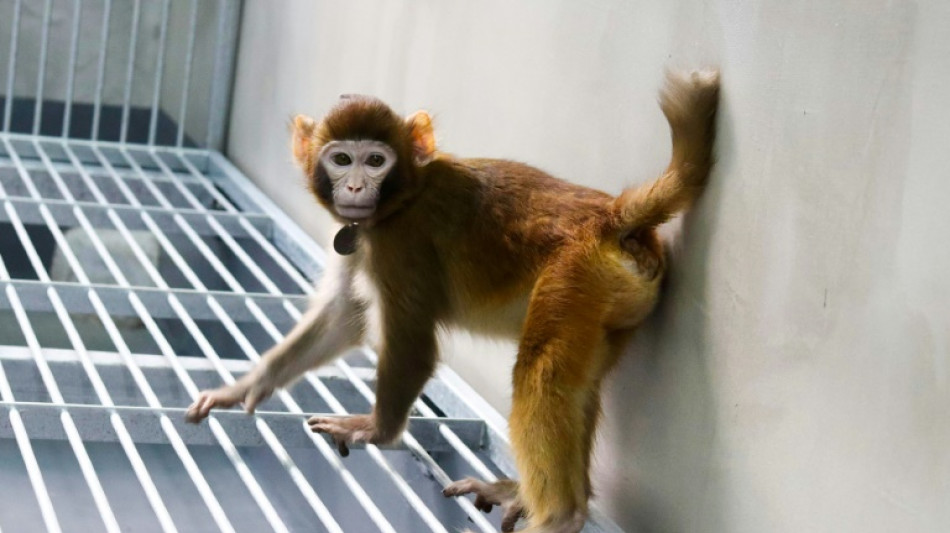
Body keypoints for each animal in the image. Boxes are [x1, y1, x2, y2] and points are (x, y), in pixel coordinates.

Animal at [185, 69, 720, 533]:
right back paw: (535, 496)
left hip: (575, 274)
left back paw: (559, 516)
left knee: (541, 373)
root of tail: (612, 218)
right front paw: (246, 386)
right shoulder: (364, 238)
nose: (355, 186)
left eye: (375, 161)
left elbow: (413, 347)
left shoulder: (401, 243)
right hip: (610, 300)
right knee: (576, 384)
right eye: (341, 159)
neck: (404, 196)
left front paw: (378, 430)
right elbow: (343, 317)